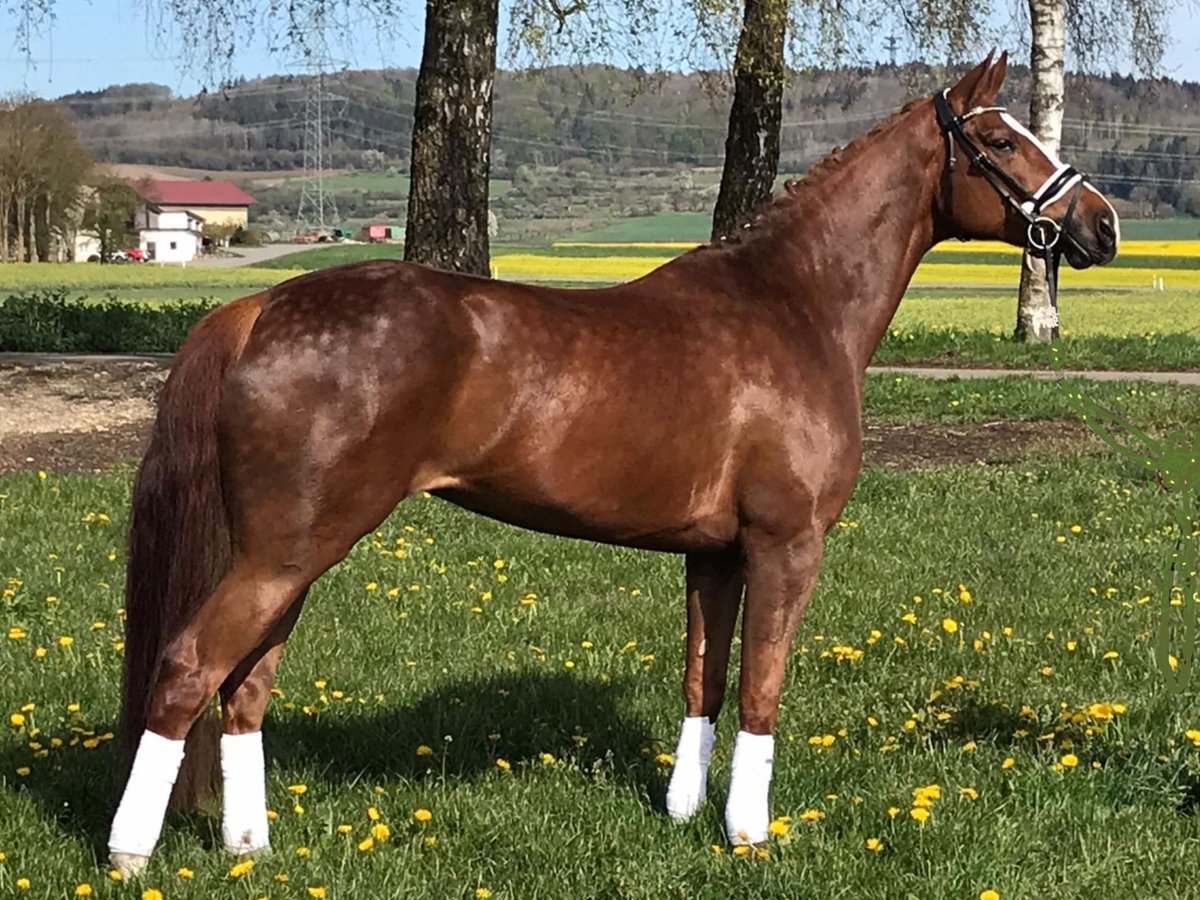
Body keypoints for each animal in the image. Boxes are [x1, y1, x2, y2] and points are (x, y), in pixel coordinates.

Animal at [108, 51, 1118, 873]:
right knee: (190, 668)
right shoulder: (787, 546)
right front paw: (750, 835)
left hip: (292, 553)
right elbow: (761, 687)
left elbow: (703, 679)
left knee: (245, 688)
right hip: (287, 551)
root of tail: (260, 308)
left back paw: (252, 847)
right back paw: (129, 853)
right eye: (1000, 139)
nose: (1099, 224)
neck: (795, 306)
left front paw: (684, 814)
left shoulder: (713, 554)